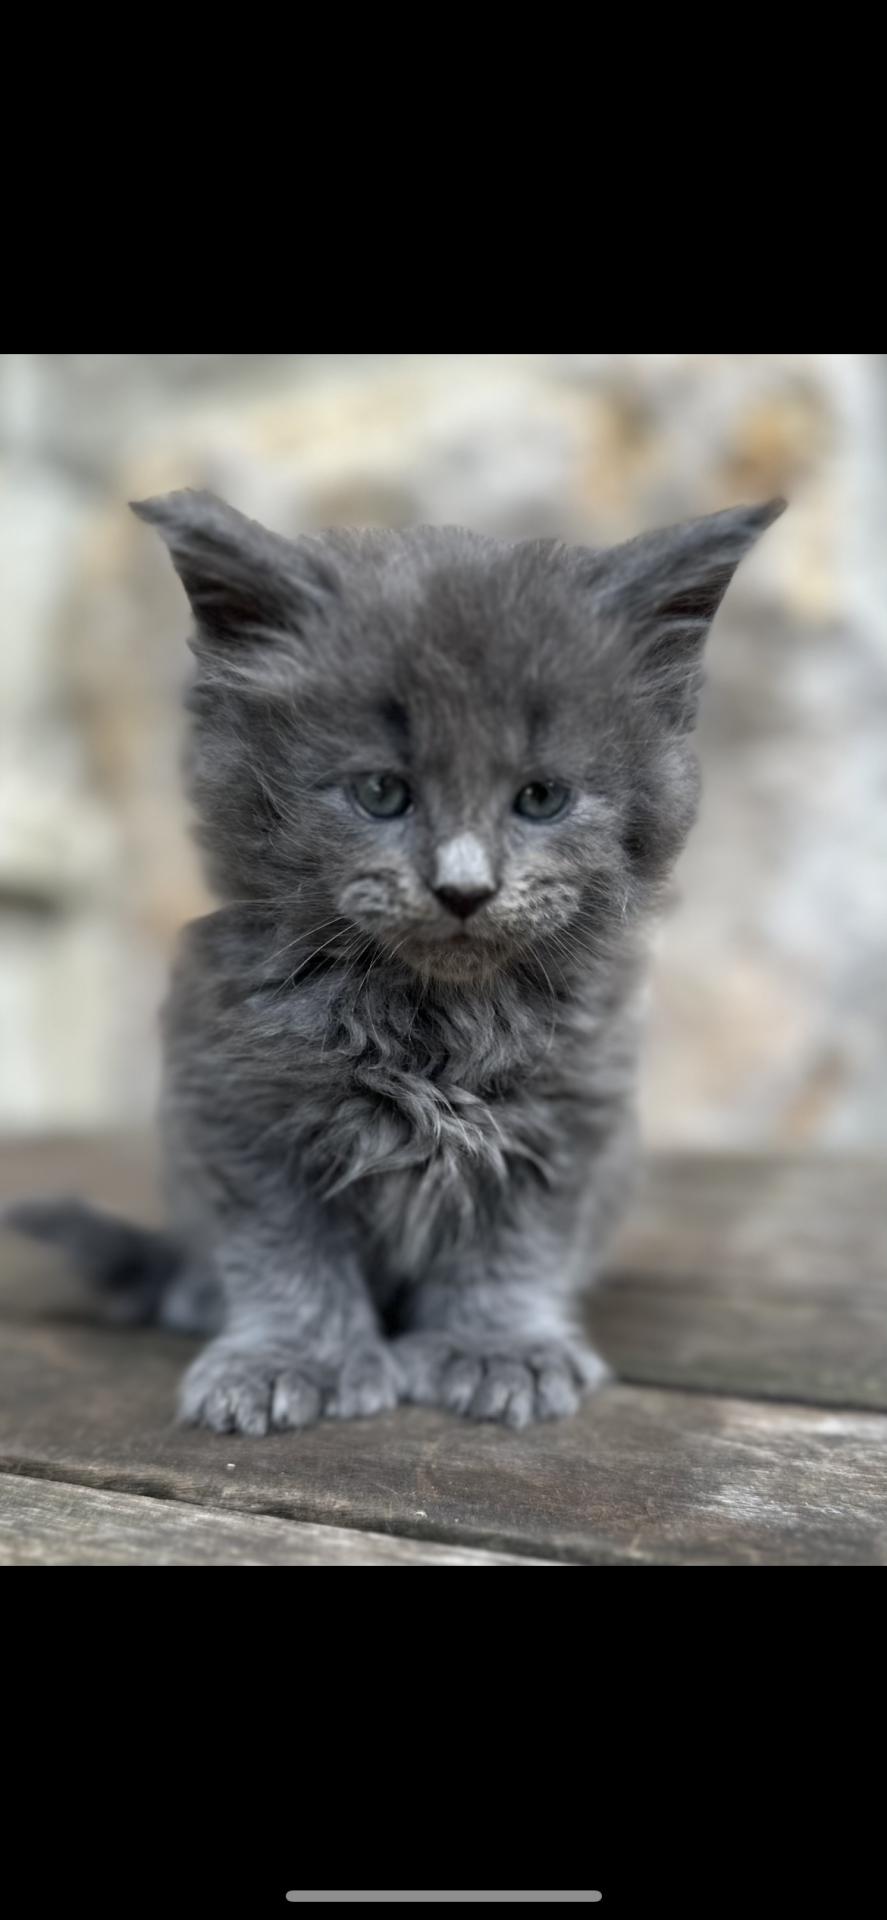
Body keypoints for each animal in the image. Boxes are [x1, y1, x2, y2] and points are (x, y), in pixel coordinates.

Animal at [5, 487, 783, 1436]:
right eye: (380, 792)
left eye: (540, 797)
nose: (463, 888)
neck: (432, 1021)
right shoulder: (236, 1106)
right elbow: (285, 1251)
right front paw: (293, 1359)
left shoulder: (572, 1115)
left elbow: (514, 1248)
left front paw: (495, 1349)